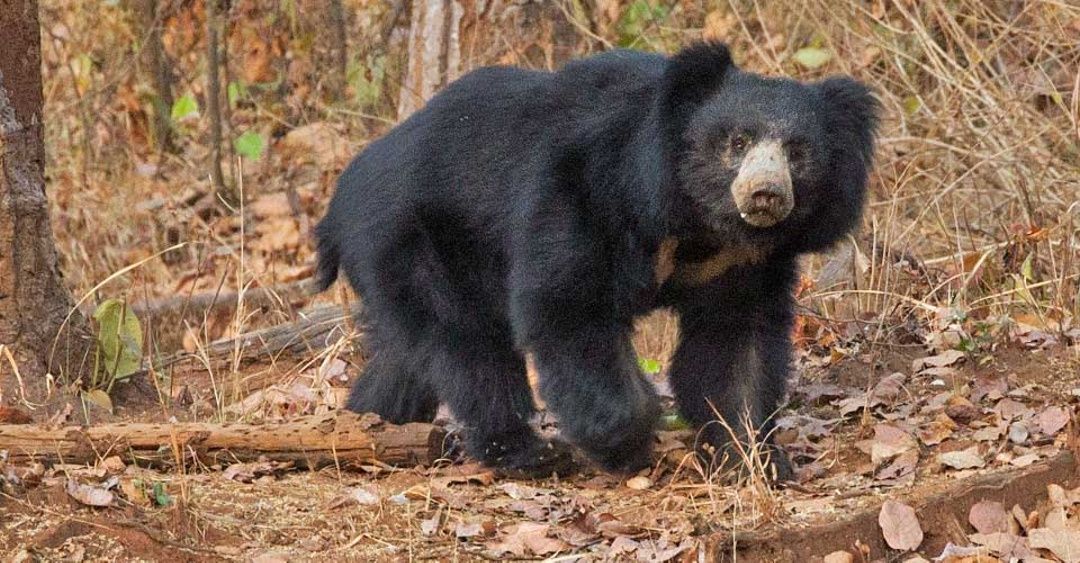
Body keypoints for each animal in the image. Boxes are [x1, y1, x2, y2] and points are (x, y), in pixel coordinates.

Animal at [313, 41, 876, 477]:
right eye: (737, 142)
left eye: (797, 152)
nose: (765, 194)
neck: (697, 219)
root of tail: (339, 203)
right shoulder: (582, 193)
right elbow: (569, 309)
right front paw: (629, 440)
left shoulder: (743, 261)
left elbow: (735, 343)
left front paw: (752, 457)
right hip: (416, 238)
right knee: (467, 344)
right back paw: (525, 452)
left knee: (411, 352)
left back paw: (369, 420)